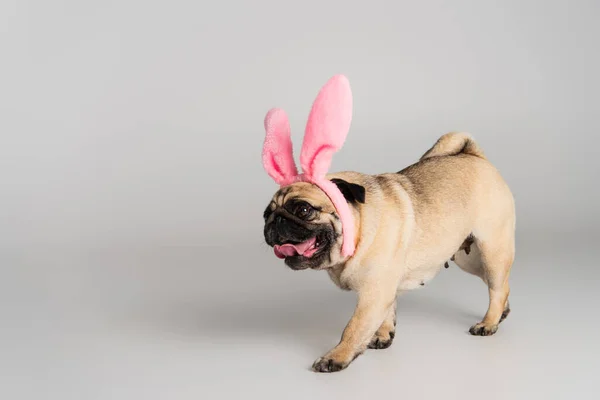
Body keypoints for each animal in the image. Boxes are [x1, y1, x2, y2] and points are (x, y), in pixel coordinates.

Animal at [262, 133, 516, 374]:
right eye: (266, 214)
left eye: (304, 210)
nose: (276, 220)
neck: (360, 226)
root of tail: (476, 157)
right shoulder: (383, 290)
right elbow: (386, 314)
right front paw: (383, 336)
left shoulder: (372, 294)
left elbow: (353, 328)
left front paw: (336, 357)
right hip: (469, 258)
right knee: (500, 284)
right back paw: (502, 312)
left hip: (492, 250)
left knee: (497, 288)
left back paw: (488, 323)